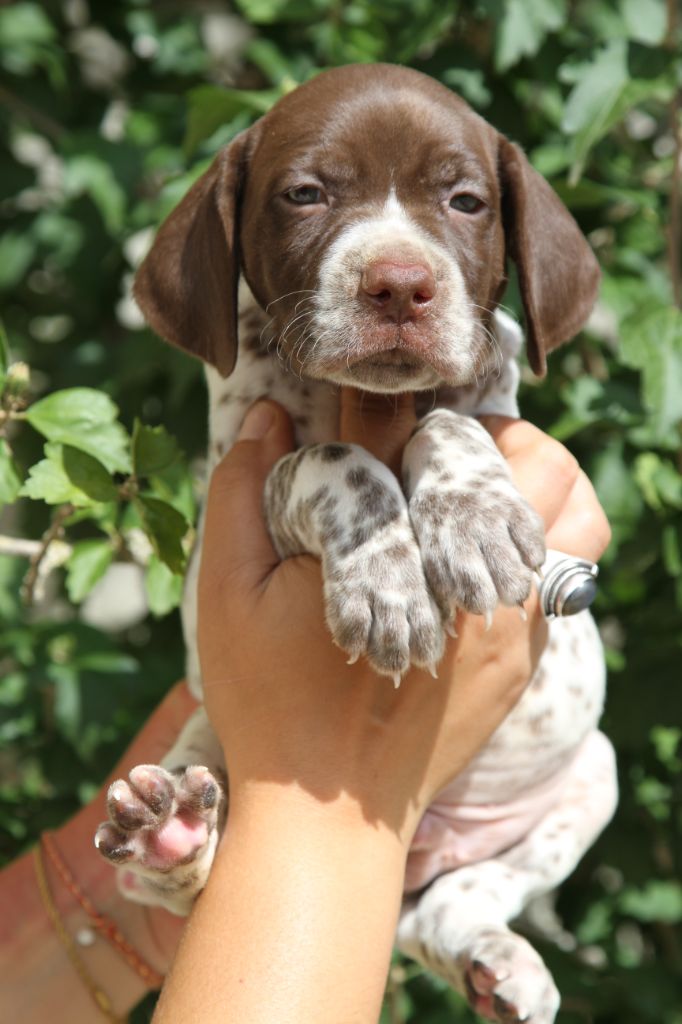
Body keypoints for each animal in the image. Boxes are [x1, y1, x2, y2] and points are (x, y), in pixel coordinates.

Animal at [95, 64, 617, 1024]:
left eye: (465, 200)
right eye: (306, 194)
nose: (400, 286)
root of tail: (414, 850)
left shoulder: (495, 397)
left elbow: (451, 420)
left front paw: (472, 518)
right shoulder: (238, 478)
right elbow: (330, 461)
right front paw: (386, 583)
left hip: (590, 776)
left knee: (449, 906)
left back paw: (498, 960)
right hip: (202, 737)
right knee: (179, 884)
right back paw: (169, 835)